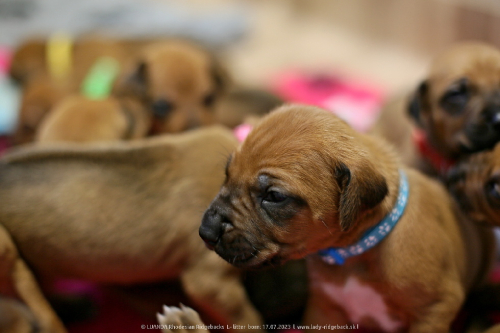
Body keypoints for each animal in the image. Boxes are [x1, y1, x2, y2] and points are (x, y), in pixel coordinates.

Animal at [161, 104, 496, 332]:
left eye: (274, 196)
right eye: (226, 174)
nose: (205, 231)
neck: (354, 255)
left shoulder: (435, 309)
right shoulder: (324, 310)